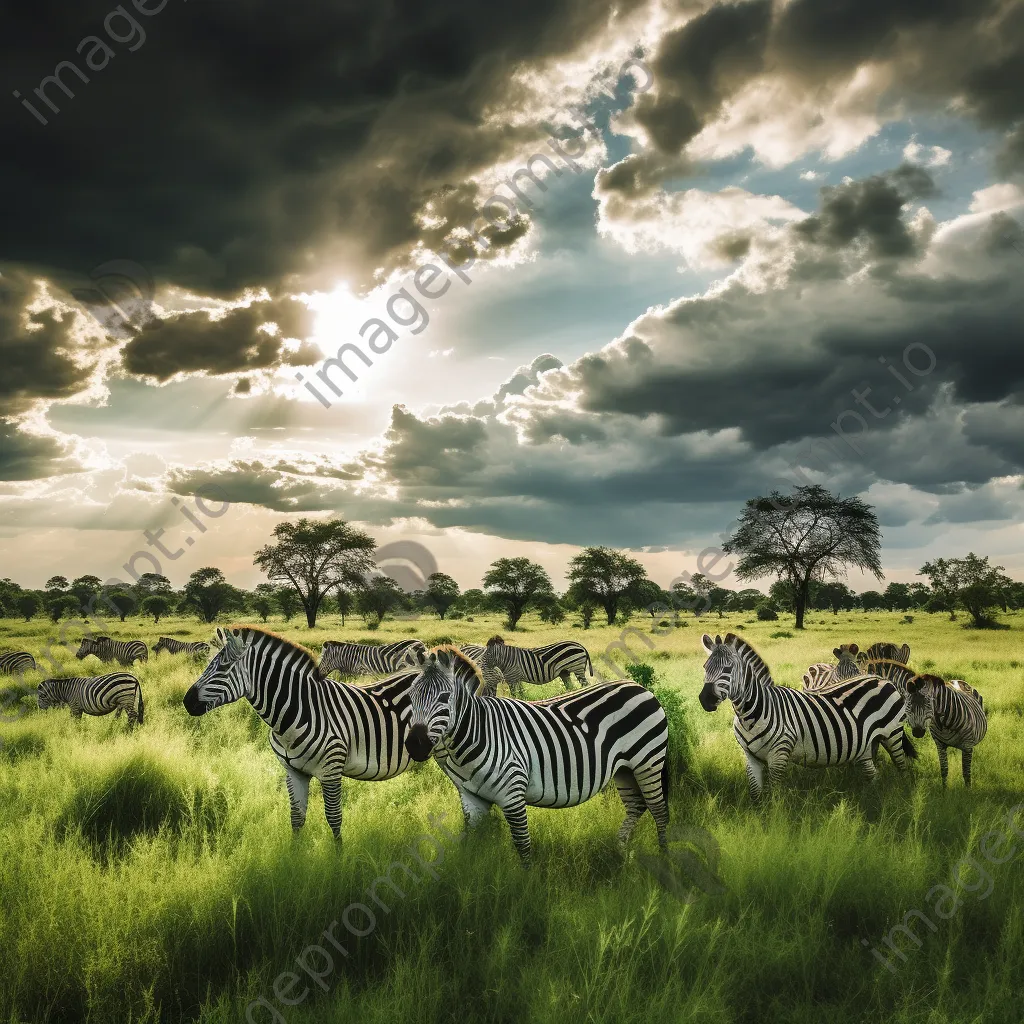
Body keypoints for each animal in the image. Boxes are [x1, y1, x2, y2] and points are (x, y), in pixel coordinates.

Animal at [185, 622, 419, 839]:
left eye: (224, 668)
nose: (186, 702)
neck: (299, 713)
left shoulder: (331, 771)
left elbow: (334, 819)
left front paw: (339, 855)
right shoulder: (293, 773)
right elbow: (297, 818)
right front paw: (295, 854)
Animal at [403, 647, 667, 864]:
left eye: (444, 697)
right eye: (410, 697)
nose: (415, 745)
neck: (475, 734)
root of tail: (639, 687)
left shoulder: (512, 793)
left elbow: (523, 845)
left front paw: (525, 885)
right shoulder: (471, 798)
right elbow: (468, 842)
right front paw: (464, 880)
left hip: (648, 761)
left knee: (659, 810)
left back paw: (664, 859)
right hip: (624, 769)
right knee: (636, 806)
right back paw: (621, 851)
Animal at [700, 626, 917, 802]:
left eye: (728, 668)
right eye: (704, 667)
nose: (705, 700)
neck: (751, 715)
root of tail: (881, 678)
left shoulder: (779, 755)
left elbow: (774, 796)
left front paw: (774, 822)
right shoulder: (750, 757)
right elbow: (755, 795)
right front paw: (757, 821)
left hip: (892, 735)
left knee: (902, 768)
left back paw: (903, 797)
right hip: (865, 745)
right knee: (873, 774)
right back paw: (870, 801)